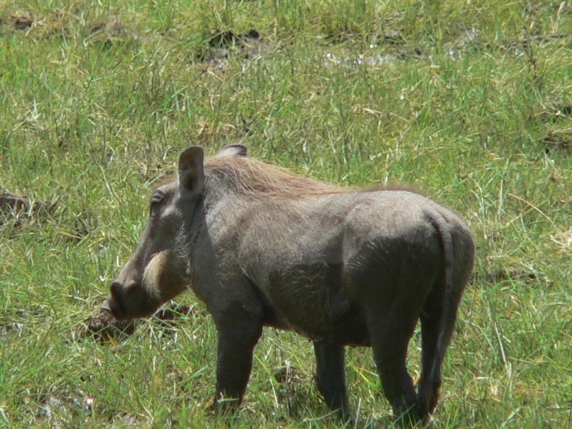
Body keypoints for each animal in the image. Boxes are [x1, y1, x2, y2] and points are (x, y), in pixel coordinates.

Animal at [102, 144, 475, 423]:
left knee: (404, 396)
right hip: (442, 314)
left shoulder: (235, 313)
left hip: (389, 322)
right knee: (428, 388)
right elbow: (331, 387)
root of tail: (436, 217)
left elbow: (229, 382)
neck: (206, 218)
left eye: (155, 202)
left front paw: (212, 417)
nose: (112, 301)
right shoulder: (325, 327)